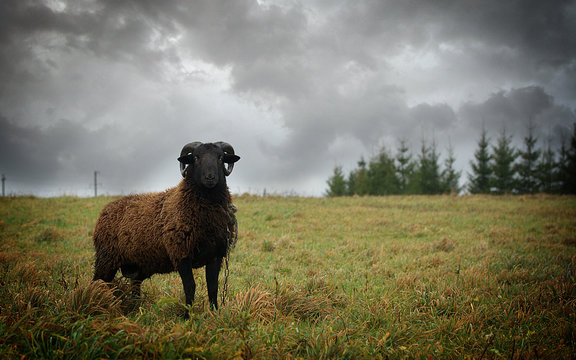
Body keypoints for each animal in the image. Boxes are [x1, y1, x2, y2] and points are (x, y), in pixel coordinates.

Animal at [93, 141, 241, 312]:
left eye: (221, 157)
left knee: (134, 285)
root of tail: (105, 210)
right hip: (106, 259)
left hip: (138, 265)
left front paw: (214, 313)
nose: (210, 177)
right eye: (196, 157)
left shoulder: (215, 256)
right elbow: (190, 287)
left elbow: (213, 287)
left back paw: (136, 308)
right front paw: (187, 315)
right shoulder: (181, 254)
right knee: (98, 282)